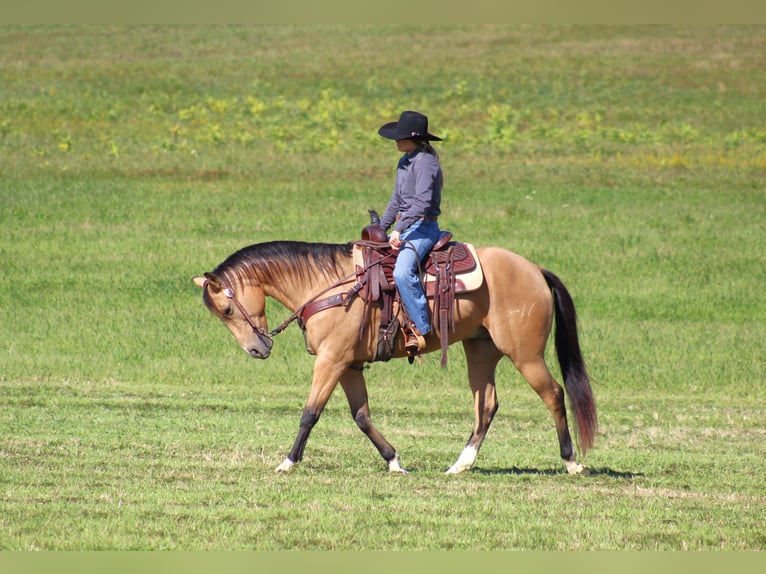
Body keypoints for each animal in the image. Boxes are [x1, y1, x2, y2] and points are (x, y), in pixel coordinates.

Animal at [194, 234, 600, 476]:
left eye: (227, 310)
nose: (257, 349)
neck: (328, 286)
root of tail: (534, 270)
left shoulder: (331, 361)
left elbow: (310, 413)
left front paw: (288, 462)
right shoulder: (349, 365)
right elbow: (361, 416)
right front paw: (394, 461)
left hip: (525, 354)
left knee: (554, 394)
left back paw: (571, 461)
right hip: (480, 351)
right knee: (486, 405)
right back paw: (460, 464)